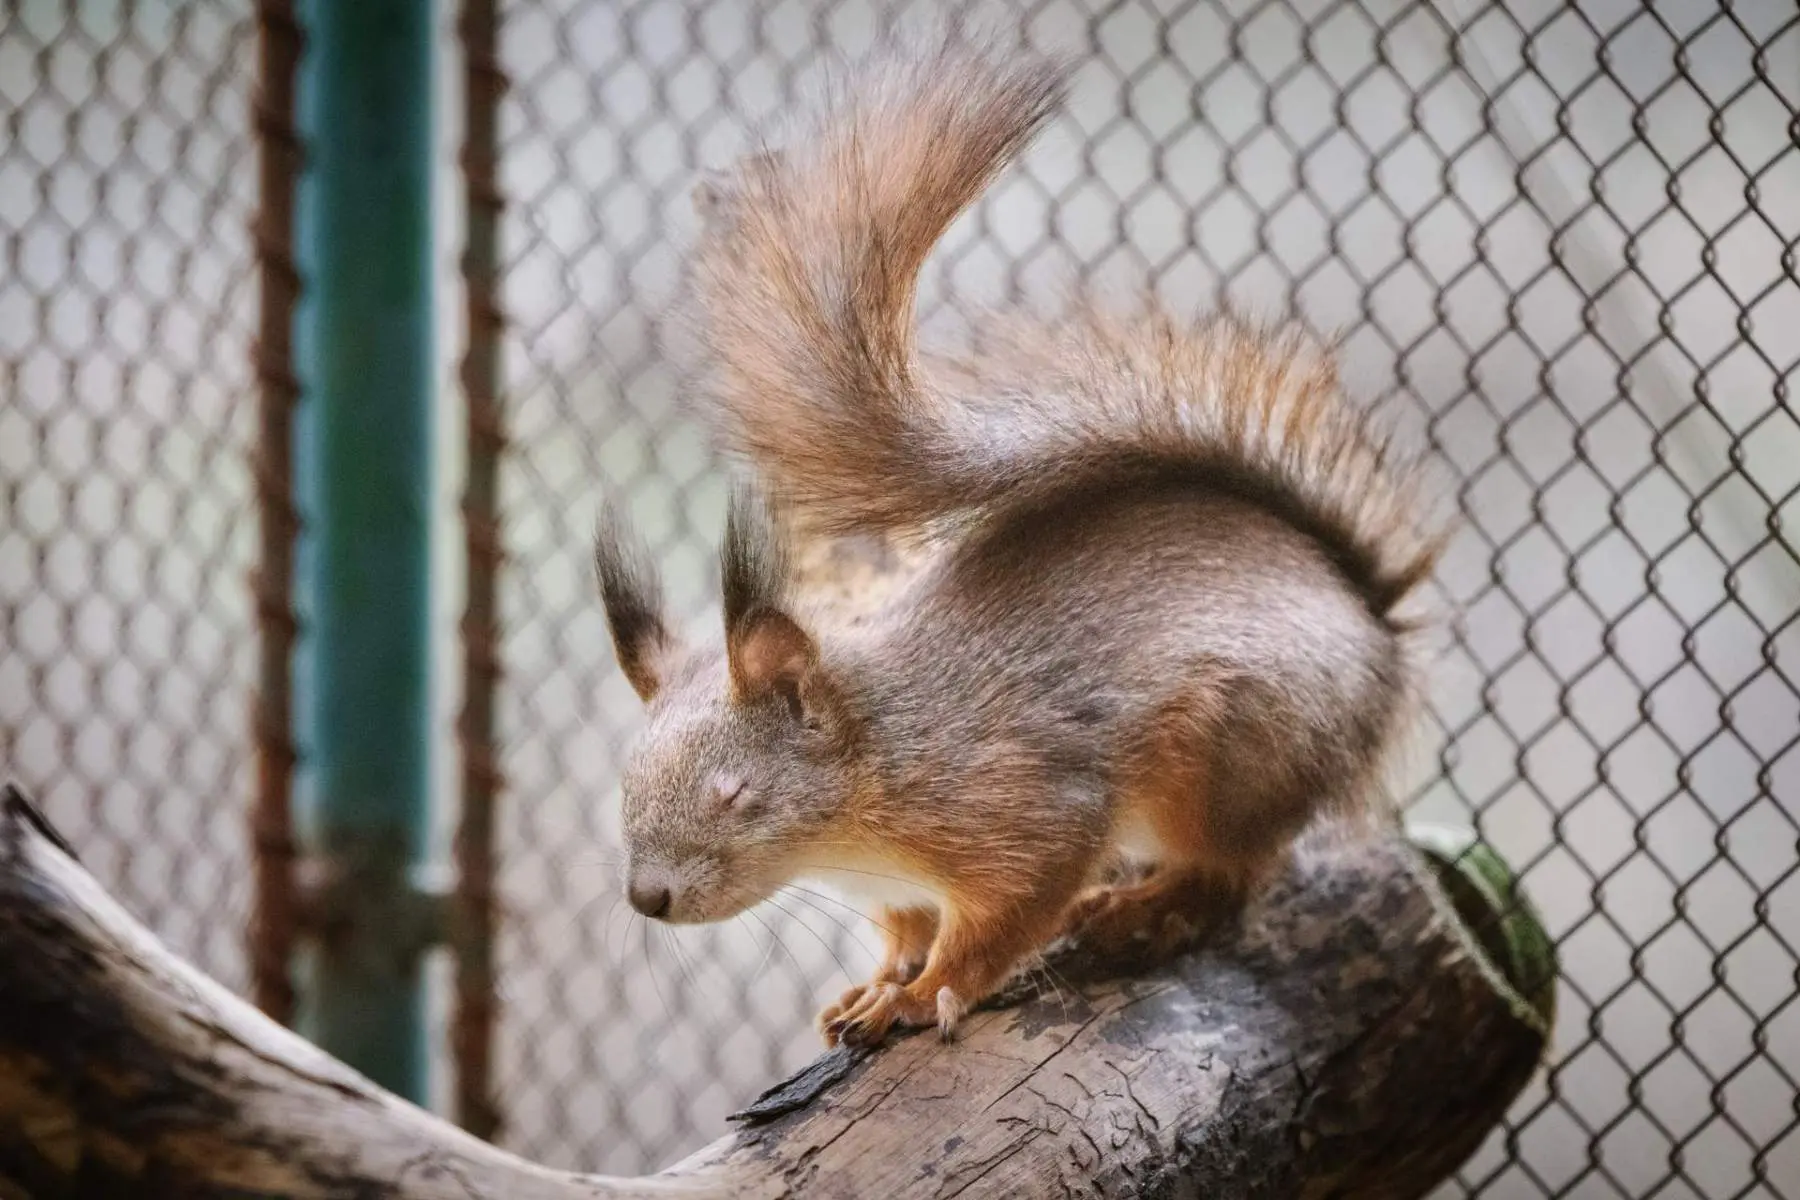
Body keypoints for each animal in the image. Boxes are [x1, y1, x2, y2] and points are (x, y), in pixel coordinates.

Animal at [593, 38, 1445, 1049]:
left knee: (1230, 874)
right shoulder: (898, 890)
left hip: (1232, 753)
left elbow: (1006, 914)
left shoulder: (1022, 806)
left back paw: (1148, 907)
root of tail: (1369, 621)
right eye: (626, 786)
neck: (871, 776)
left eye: (735, 794)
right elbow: (904, 929)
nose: (647, 899)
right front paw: (875, 986)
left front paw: (927, 992)